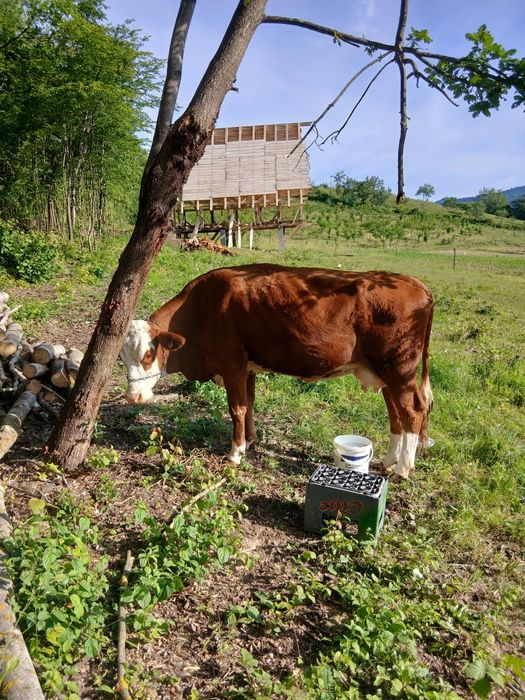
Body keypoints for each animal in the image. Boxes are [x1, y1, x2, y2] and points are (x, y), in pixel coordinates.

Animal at [119, 264, 433, 479]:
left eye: (149, 354)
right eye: (122, 358)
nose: (133, 397)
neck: (202, 306)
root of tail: (414, 282)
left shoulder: (232, 363)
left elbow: (237, 409)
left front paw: (235, 453)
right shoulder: (247, 367)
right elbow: (249, 404)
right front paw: (250, 441)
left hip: (399, 369)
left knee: (413, 411)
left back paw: (403, 469)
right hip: (385, 372)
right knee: (396, 413)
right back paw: (390, 461)